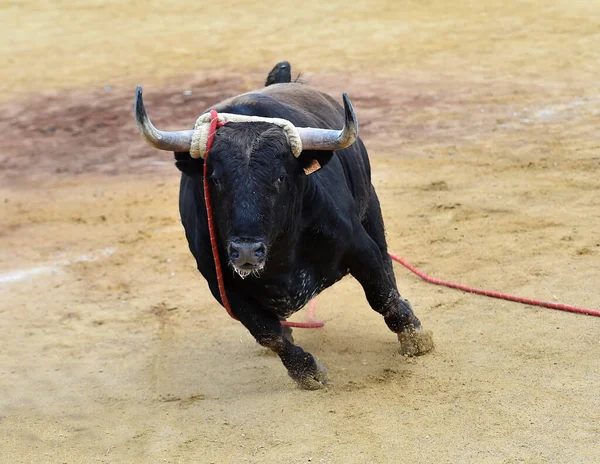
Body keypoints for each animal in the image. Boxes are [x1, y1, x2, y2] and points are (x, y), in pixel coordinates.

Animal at [134, 69, 434, 390]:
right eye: (214, 179)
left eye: (279, 178)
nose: (246, 251)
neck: (281, 257)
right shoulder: (221, 286)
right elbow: (268, 333)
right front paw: (306, 372)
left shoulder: (359, 246)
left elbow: (382, 294)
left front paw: (415, 338)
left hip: (372, 211)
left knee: (387, 262)